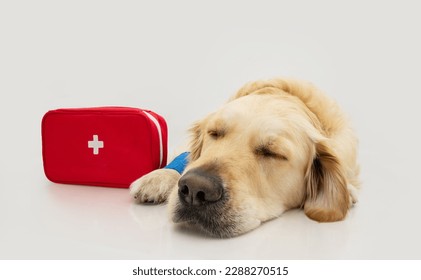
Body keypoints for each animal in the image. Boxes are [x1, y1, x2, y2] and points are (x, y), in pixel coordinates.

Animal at [130, 77, 360, 237]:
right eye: (214, 133)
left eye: (272, 152)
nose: (195, 189)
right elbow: (183, 158)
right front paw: (158, 177)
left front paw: (349, 191)